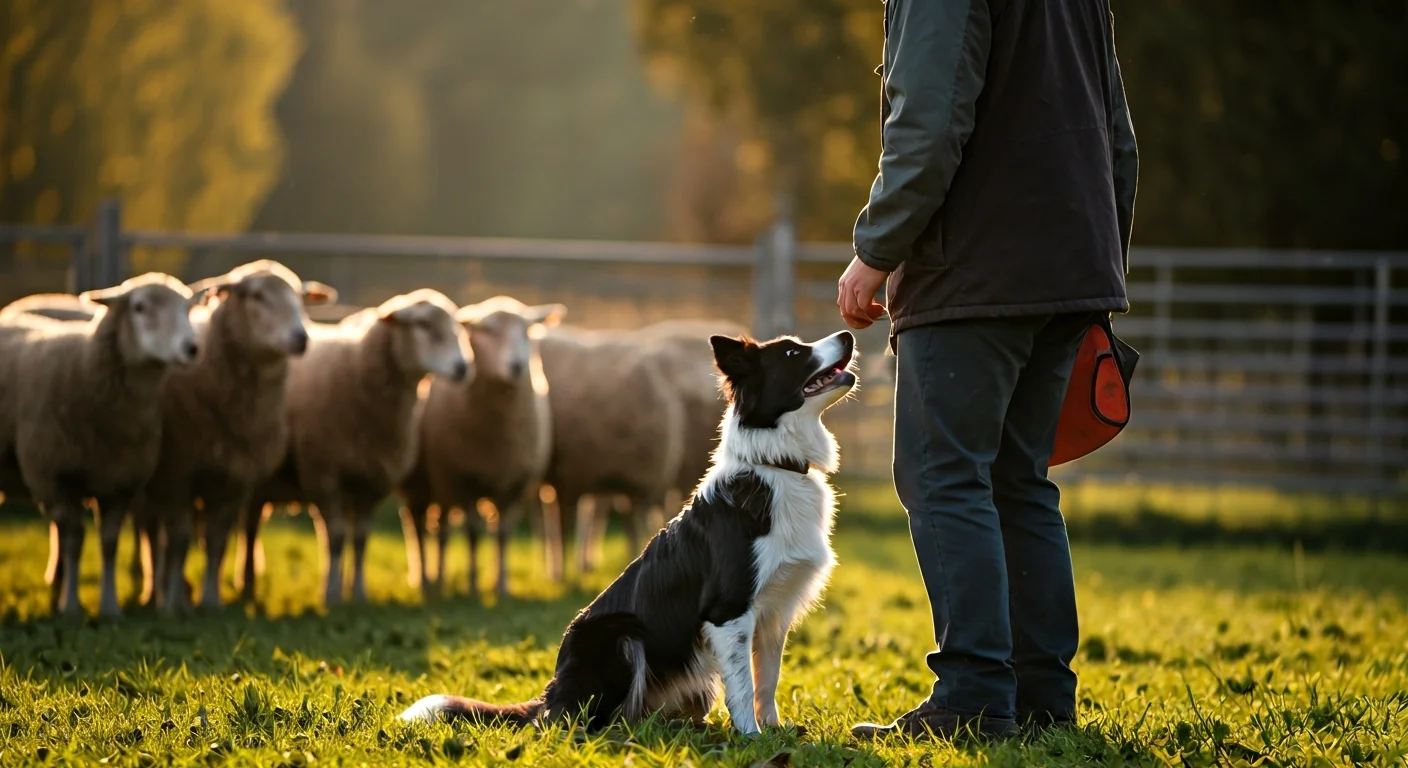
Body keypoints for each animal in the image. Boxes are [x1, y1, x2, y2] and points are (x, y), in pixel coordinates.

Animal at [0, 274, 199, 617]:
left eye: (187, 308)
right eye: (139, 307)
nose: (191, 347)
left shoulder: (120, 483)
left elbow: (108, 543)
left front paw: (109, 606)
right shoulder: (52, 477)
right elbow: (75, 538)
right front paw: (71, 607)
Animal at [135, 260, 337, 613]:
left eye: (300, 298)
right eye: (256, 296)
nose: (300, 338)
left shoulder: (236, 478)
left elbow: (216, 542)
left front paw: (211, 601)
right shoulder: (176, 474)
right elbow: (179, 540)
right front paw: (174, 603)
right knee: (153, 532)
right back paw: (158, 592)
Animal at [244, 289, 473, 607]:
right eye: (423, 325)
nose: (462, 367)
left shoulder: (371, 481)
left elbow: (361, 539)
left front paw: (358, 593)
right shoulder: (323, 475)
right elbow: (337, 537)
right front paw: (331, 595)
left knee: (251, 526)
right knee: (250, 529)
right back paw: (247, 588)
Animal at [399, 296, 565, 599]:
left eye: (527, 330)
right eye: (488, 331)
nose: (517, 365)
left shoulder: (515, 485)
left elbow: (503, 533)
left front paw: (501, 586)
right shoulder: (463, 482)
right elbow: (474, 532)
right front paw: (474, 586)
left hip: (442, 489)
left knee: (441, 529)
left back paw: (439, 578)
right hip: (419, 484)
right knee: (417, 527)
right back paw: (425, 581)